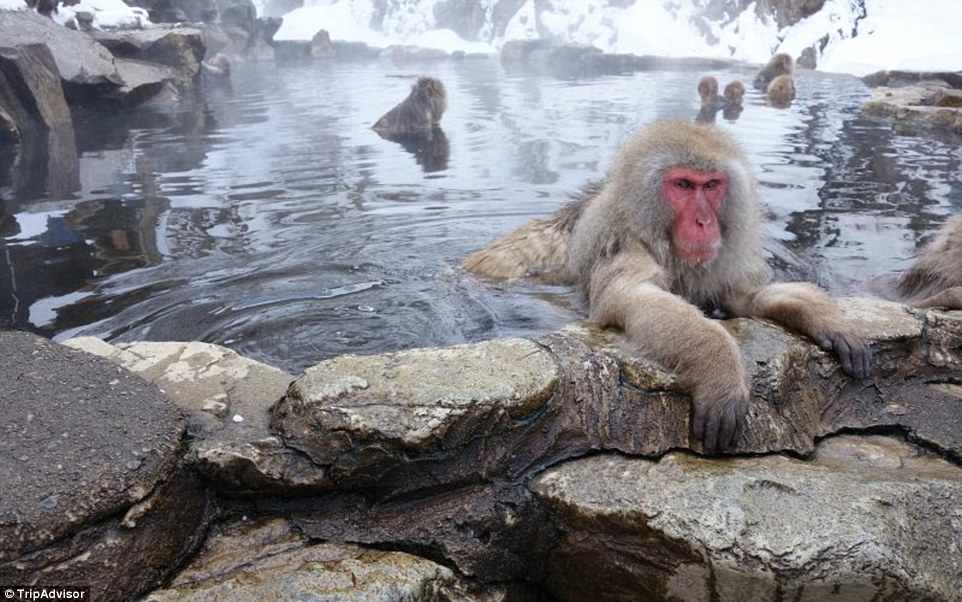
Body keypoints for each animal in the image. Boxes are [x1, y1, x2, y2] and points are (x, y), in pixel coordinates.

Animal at [462, 120, 872, 450]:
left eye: (711, 185)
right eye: (683, 185)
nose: (704, 222)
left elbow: (748, 300)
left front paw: (823, 317)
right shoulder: (622, 242)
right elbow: (630, 297)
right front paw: (719, 367)